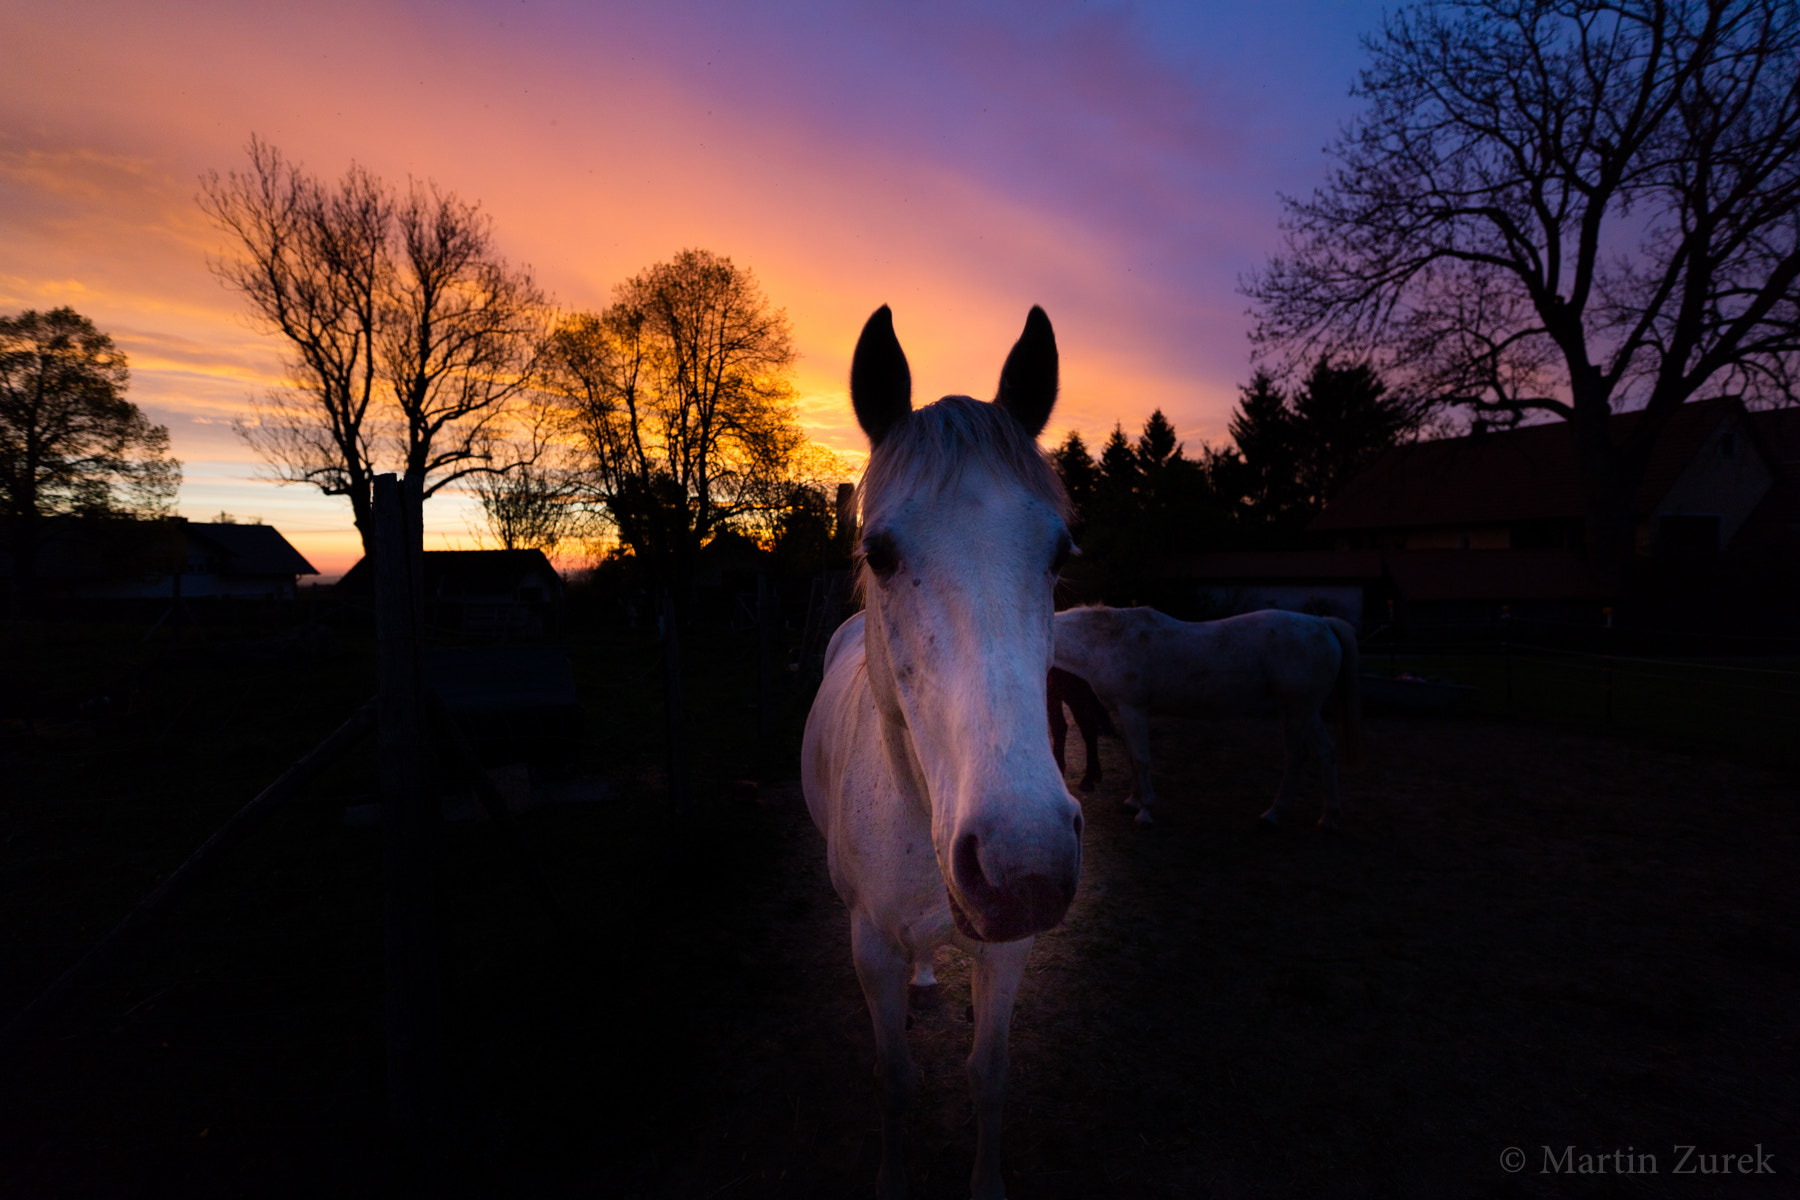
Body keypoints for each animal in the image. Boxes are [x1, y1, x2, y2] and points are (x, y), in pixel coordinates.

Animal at [802, 305, 1084, 1200]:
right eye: (880, 553)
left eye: (1060, 555)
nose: (1024, 866)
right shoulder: (869, 945)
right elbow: (894, 1080)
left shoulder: (1011, 949)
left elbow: (988, 1075)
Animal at [1052, 605, 1365, 828]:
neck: (1108, 640)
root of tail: (1323, 623)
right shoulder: (1125, 711)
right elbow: (1131, 757)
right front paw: (1133, 800)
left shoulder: (1133, 709)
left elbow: (1141, 759)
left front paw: (1146, 811)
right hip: (1306, 710)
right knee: (1326, 752)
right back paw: (1328, 817)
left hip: (1297, 709)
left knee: (1296, 756)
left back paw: (1273, 814)